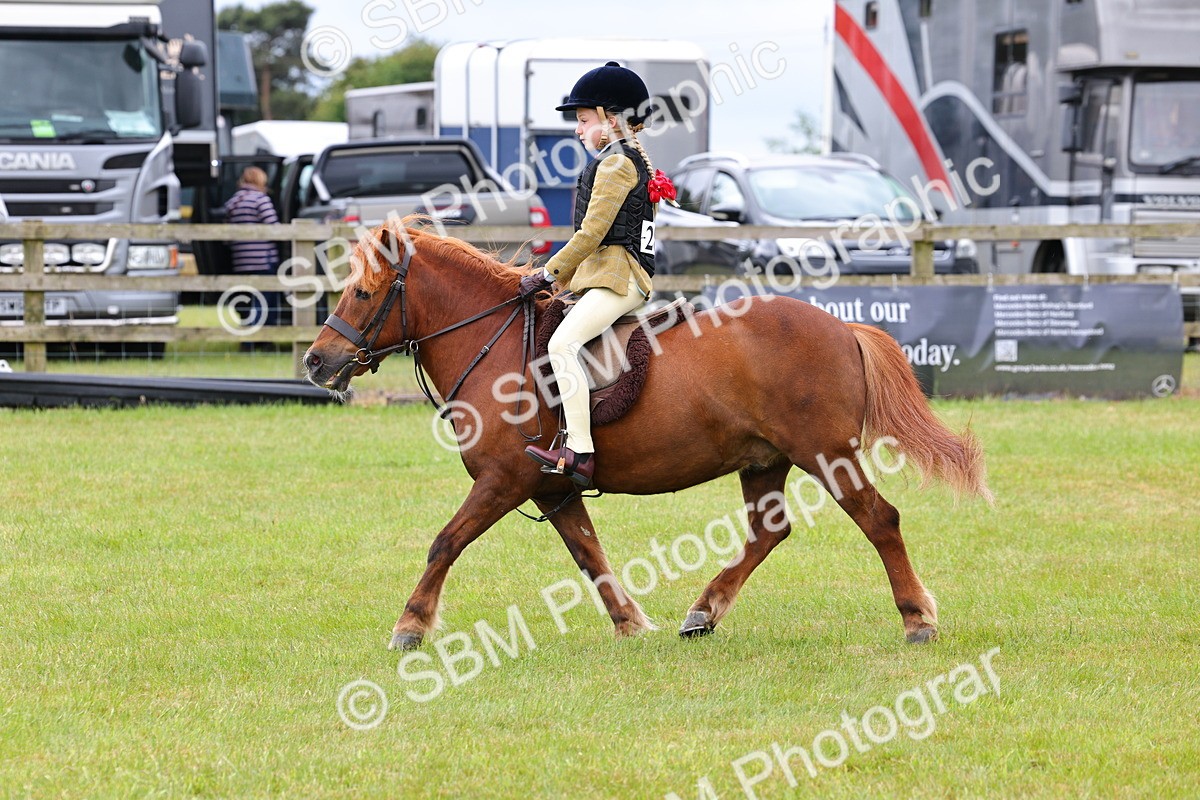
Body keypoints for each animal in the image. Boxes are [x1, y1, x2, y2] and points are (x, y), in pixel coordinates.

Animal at [303, 216, 992, 651]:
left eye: (362, 292)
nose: (314, 362)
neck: (493, 342)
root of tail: (841, 327)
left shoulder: (504, 480)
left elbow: (444, 543)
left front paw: (411, 626)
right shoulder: (552, 487)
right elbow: (590, 556)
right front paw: (631, 623)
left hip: (826, 454)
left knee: (880, 519)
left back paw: (917, 621)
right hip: (764, 460)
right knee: (768, 532)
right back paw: (703, 612)